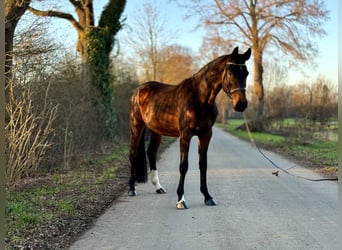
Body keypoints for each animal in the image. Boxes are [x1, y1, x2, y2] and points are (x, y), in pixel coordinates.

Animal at [128, 47, 251, 209]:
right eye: (230, 72)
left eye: (246, 73)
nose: (241, 104)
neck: (199, 98)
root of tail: (139, 90)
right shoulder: (185, 135)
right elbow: (183, 166)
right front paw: (181, 199)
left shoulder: (206, 134)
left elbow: (203, 165)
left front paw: (207, 197)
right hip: (136, 126)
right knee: (133, 154)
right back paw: (131, 189)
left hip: (156, 131)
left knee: (151, 153)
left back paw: (158, 187)